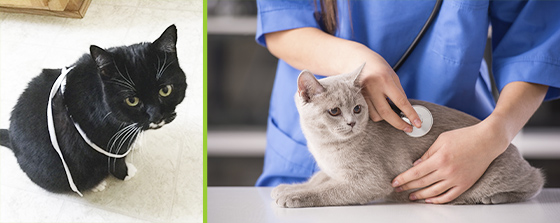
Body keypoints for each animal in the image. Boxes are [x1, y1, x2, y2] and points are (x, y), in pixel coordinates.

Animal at [0, 24, 187, 193]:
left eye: (165, 90)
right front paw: (125, 173)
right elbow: (115, 159)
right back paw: (97, 184)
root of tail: (11, 137)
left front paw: (134, 142)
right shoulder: (103, 139)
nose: (156, 116)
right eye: (132, 100)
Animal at [274, 64, 544, 207]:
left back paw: (493, 198)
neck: (324, 146)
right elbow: (319, 179)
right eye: (334, 111)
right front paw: (287, 187)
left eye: (357, 109)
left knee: (536, 180)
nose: (351, 122)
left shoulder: (370, 181)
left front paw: (294, 195)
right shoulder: (332, 170)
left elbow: (327, 190)